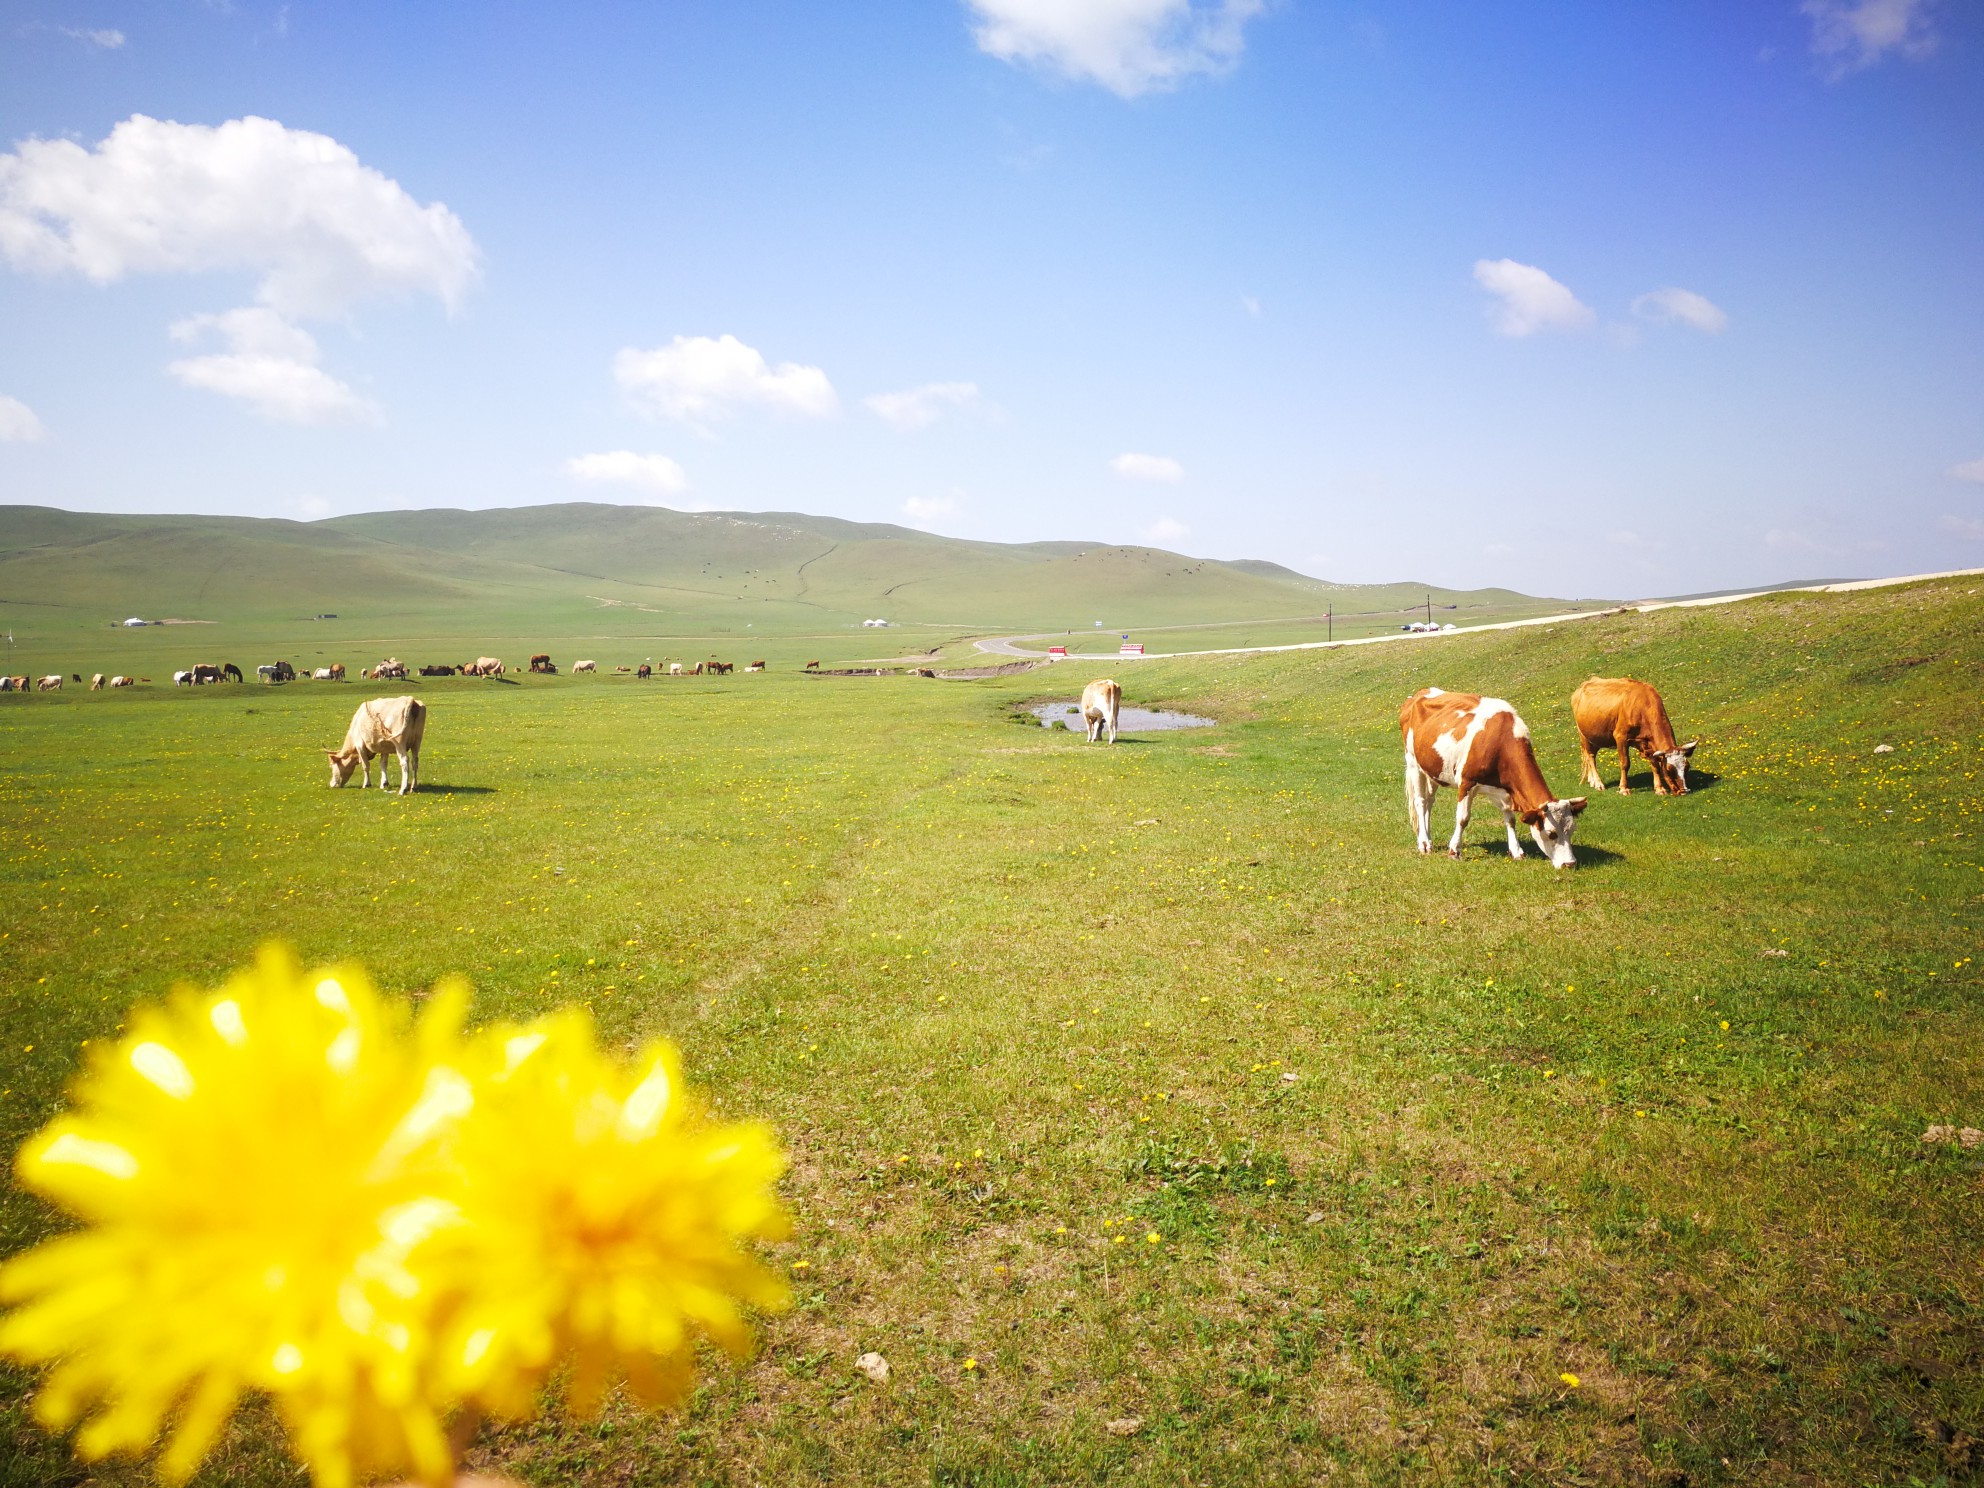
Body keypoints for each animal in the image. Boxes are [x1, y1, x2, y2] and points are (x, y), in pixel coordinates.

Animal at [1404, 690, 1587, 872]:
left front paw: (1516, 851)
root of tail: (1419, 694)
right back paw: (1424, 843)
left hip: (1432, 770)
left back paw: (1427, 837)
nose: (1570, 864)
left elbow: (1510, 819)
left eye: (1572, 830)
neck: (1500, 741)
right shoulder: (1467, 782)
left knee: (1429, 802)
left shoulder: (1506, 789)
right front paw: (1454, 851)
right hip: (1413, 763)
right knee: (1420, 802)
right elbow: (1462, 818)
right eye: (1551, 833)